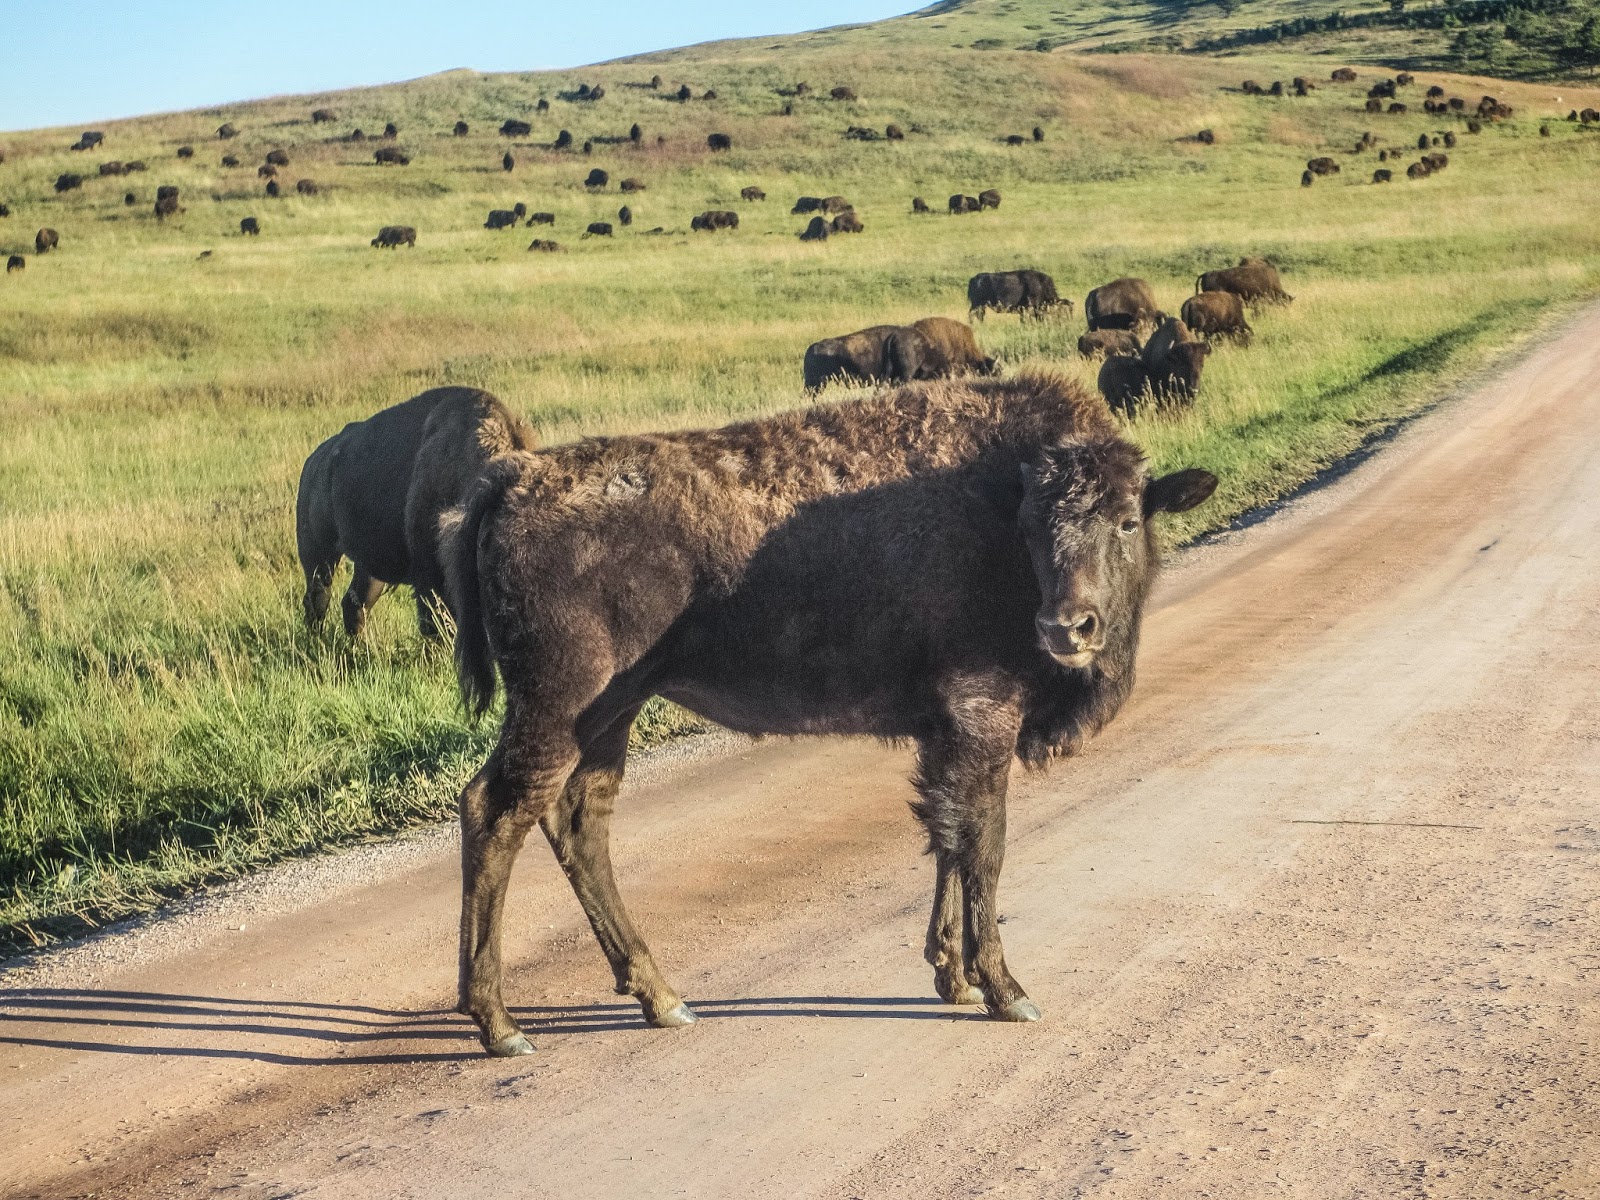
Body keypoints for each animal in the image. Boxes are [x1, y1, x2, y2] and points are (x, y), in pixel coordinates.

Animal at [441, 372, 1218, 1054]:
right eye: (1031, 526)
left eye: (1127, 520)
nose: (1067, 627)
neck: (996, 507)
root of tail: (517, 477)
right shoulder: (983, 720)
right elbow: (984, 844)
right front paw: (1004, 989)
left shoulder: (945, 735)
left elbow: (946, 839)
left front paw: (954, 977)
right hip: (560, 708)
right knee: (494, 811)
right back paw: (500, 1026)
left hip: (611, 714)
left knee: (579, 820)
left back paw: (662, 998)